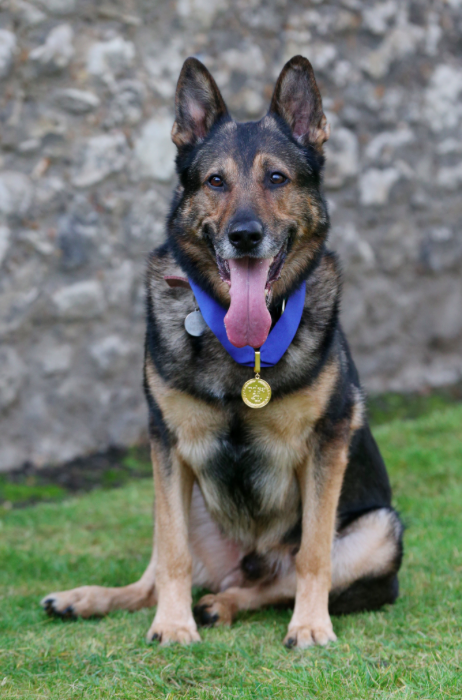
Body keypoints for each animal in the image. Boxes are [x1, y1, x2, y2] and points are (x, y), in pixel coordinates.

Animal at [44, 56, 404, 652]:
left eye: (277, 178)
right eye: (216, 181)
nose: (245, 236)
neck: (244, 351)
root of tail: (242, 563)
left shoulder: (328, 443)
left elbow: (313, 555)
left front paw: (311, 625)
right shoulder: (167, 444)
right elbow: (171, 555)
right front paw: (172, 624)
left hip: (381, 530)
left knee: (274, 583)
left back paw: (225, 604)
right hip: (183, 499)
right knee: (159, 573)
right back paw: (90, 598)